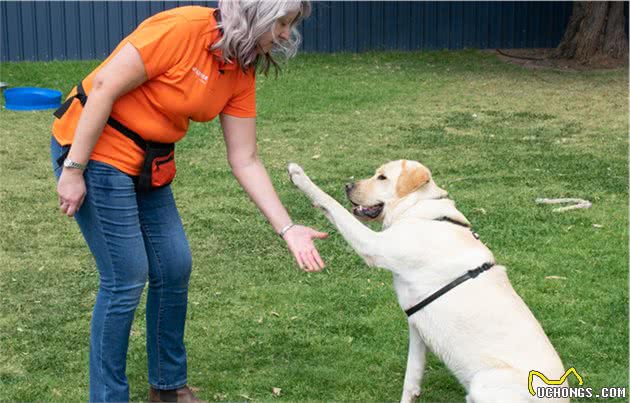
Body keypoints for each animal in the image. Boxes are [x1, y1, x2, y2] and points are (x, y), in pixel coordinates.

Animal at [288, 161, 572, 403]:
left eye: (382, 177)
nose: (348, 186)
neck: (418, 211)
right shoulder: (417, 328)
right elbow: (410, 380)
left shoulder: (373, 246)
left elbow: (331, 204)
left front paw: (300, 176)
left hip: (486, 383)